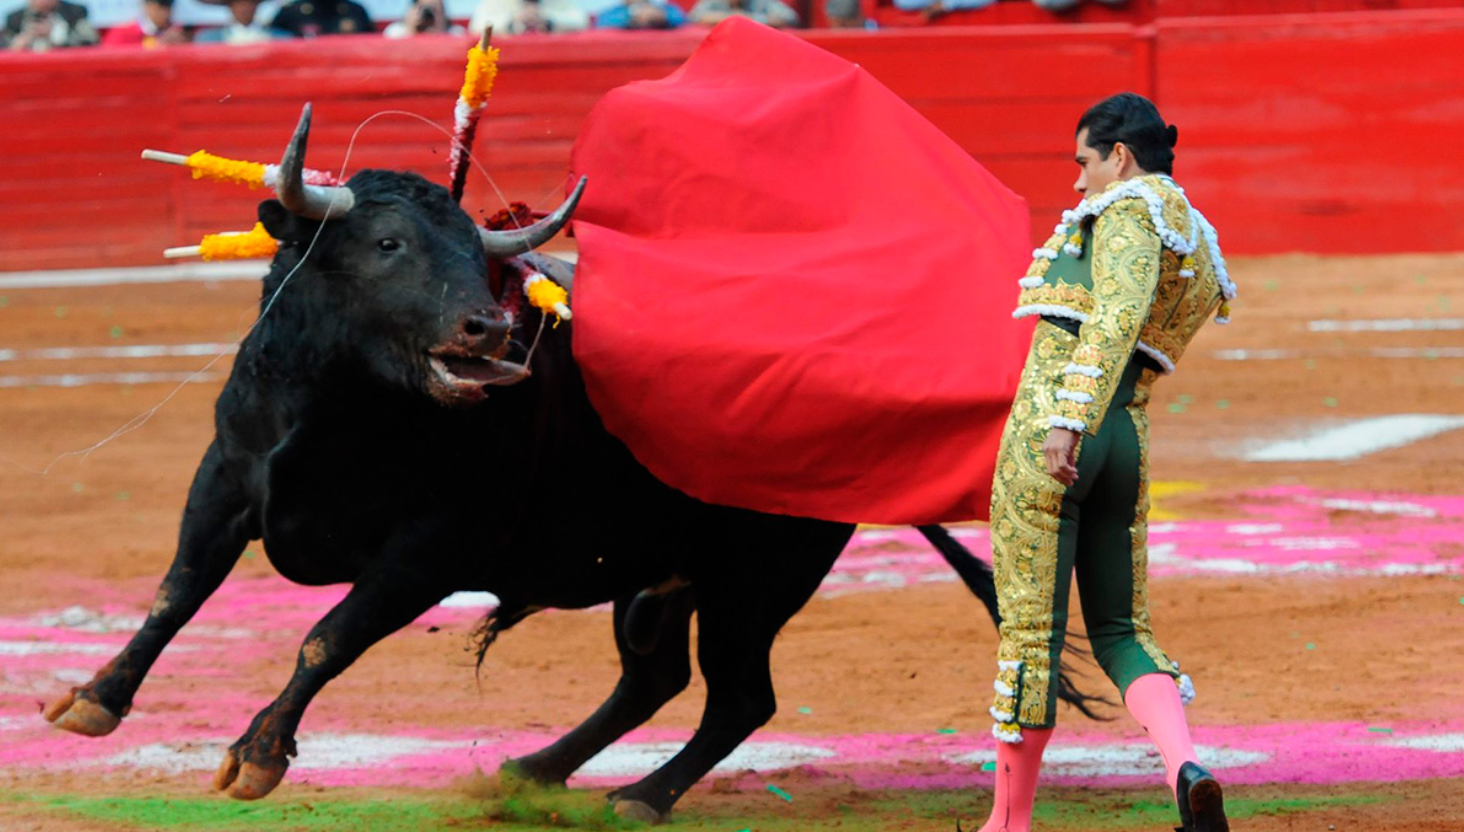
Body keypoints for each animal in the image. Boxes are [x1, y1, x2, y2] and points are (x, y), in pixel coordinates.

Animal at [42, 105, 1100, 826]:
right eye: (386, 243)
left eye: (474, 253)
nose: (488, 328)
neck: (345, 405)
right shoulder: (225, 482)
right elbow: (176, 592)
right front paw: (92, 700)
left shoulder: (428, 548)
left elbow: (325, 638)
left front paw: (257, 754)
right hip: (660, 578)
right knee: (656, 678)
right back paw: (535, 771)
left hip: (759, 575)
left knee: (738, 695)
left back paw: (639, 796)